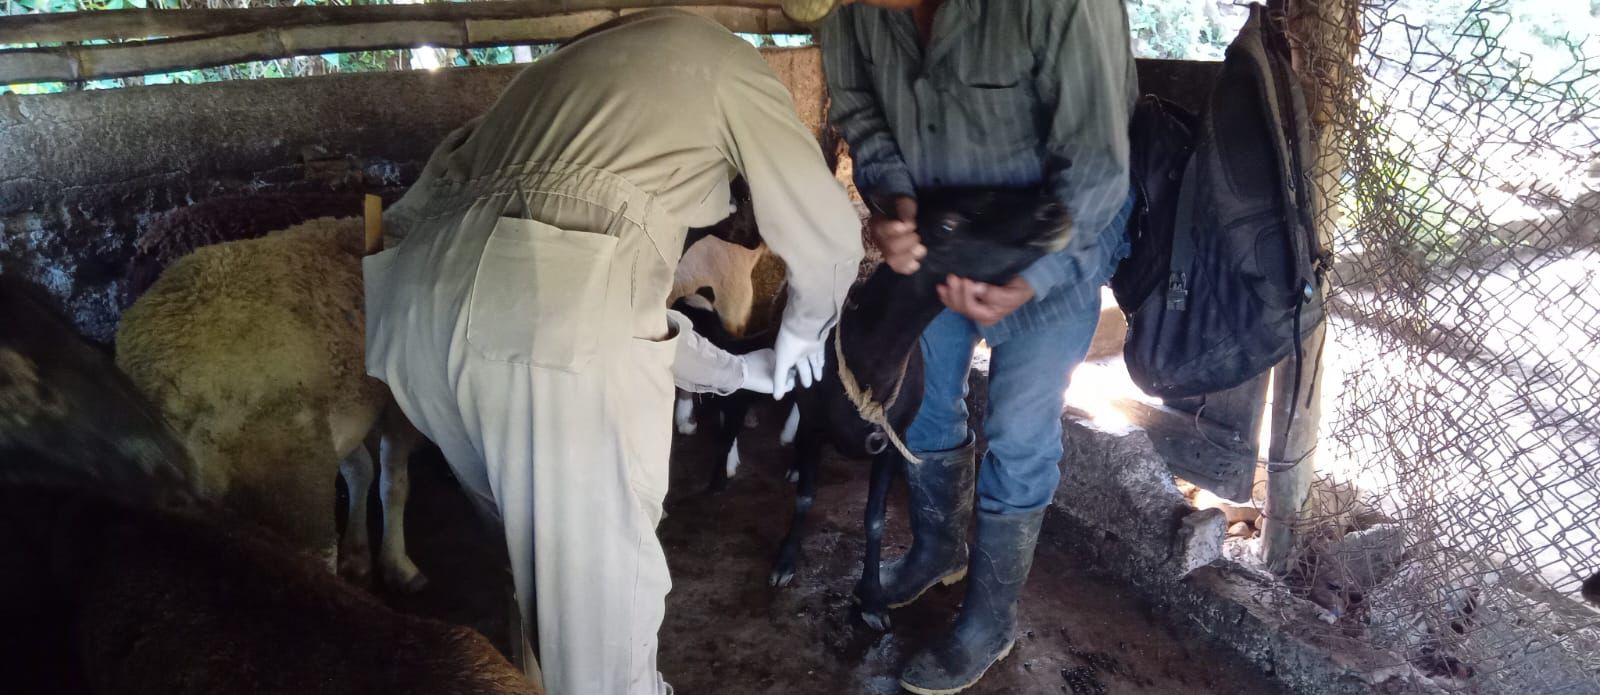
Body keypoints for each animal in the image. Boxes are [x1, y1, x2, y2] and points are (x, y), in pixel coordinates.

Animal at [0, 275, 543, 695]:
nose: (156, 450)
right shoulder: (388, 405)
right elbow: (392, 480)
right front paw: (396, 564)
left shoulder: (347, 412)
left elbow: (363, 471)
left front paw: (363, 556)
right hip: (290, 470)